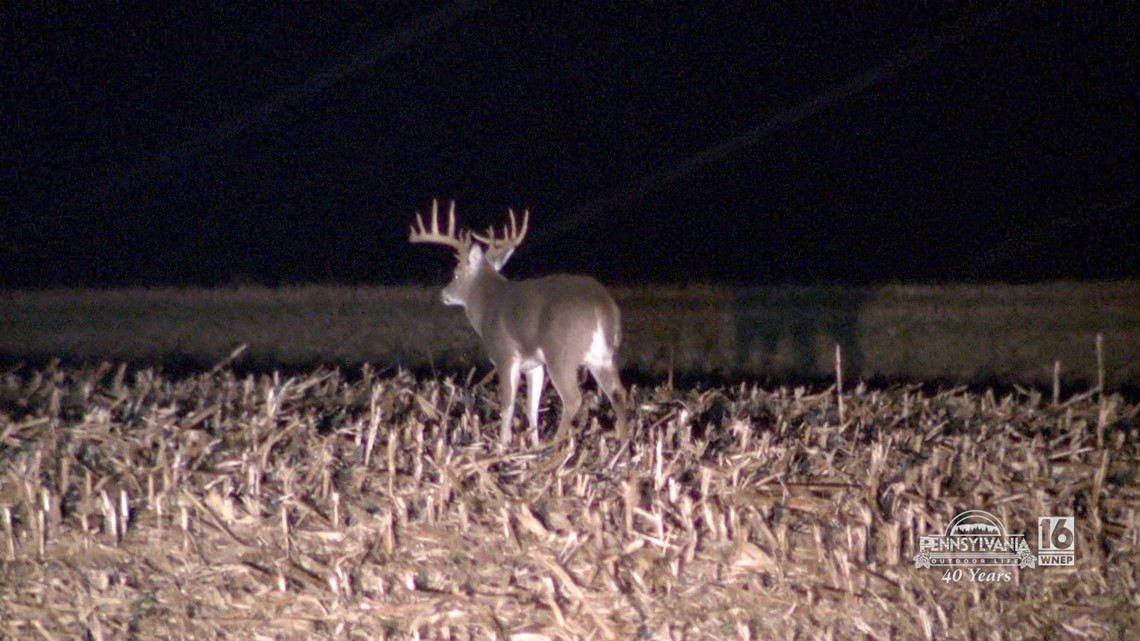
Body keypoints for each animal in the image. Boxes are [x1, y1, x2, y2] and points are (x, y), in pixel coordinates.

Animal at [409, 199, 628, 447]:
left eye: (456, 274)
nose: (444, 294)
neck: (488, 305)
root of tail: (601, 305)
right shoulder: (534, 365)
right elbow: (532, 407)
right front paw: (533, 443)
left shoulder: (505, 355)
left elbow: (508, 404)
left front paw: (503, 444)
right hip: (602, 357)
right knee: (618, 393)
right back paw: (623, 444)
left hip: (561, 353)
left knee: (573, 398)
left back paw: (555, 445)